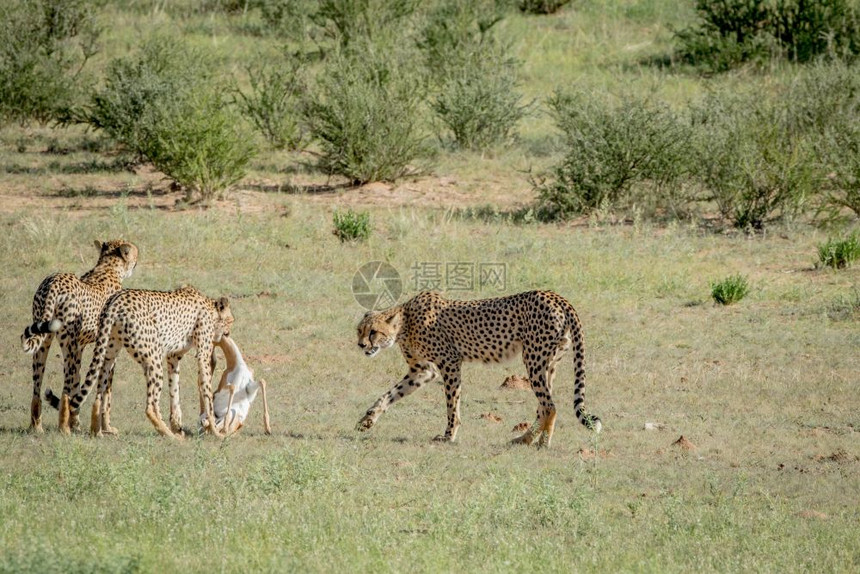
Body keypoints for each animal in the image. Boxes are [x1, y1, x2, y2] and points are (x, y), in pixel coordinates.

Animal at [19, 241, 138, 434]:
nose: (136, 262)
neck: (108, 267)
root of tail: (54, 280)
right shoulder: (107, 348)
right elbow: (106, 391)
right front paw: (107, 427)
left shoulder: (81, 346)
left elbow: (78, 383)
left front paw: (76, 422)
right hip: (69, 344)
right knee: (65, 390)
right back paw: (63, 429)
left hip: (45, 340)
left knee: (37, 388)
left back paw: (37, 427)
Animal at [58, 286, 233, 438]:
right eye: (231, 321)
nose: (228, 333)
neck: (210, 307)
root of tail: (117, 299)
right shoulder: (202, 354)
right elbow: (207, 392)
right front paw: (215, 431)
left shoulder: (173, 357)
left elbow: (175, 391)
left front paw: (177, 425)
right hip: (153, 358)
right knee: (150, 406)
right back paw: (169, 435)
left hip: (109, 354)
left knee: (99, 393)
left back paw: (97, 431)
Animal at [352, 290, 600, 448]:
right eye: (359, 330)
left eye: (373, 332)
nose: (361, 345)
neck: (405, 323)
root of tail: (556, 296)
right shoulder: (422, 370)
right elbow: (390, 394)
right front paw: (367, 419)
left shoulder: (449, 362)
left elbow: (452, 405)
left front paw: (449, 436)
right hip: (548, 363)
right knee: (544, 404)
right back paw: (528, 440)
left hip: (534, 360)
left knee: (549, 405)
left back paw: (539, 443)